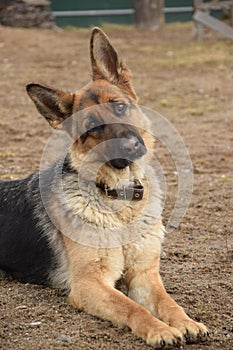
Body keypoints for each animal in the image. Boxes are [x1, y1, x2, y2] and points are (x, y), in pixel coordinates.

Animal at [0, 28, 208, 348]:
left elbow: (168, 303)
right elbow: (132, 307)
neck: (121, 204)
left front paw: (186, 322)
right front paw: (159, 330)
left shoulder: (145, 276)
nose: (131, 146)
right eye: (93, 127)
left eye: (119, 106)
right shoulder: (90, 284)